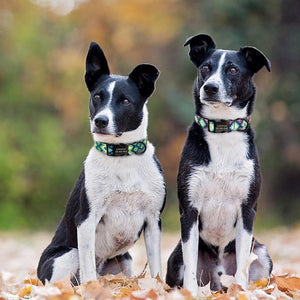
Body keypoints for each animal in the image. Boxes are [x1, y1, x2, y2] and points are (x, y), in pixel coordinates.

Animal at [37, 41, 166, 284]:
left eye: (125, 100)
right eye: (97, 97)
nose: (100, 121)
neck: (121, 155)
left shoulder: (153, 221)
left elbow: (157, 269)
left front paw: (160, 287)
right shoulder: (87, 220)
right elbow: (88, 270)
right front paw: (90, 288)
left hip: (125, 260)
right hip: (68, 255)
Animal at [165, 33, 274, 296]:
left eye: (233, 69)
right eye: (206, 68)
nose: (210, 87)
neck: (222, 129)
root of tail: (218, 277)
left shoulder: (247, 210)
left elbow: (243, 261)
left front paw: (241, 292)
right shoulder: (189, 209)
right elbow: (191, 261)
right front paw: (191, 294)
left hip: (262, 253)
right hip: (176, 257)